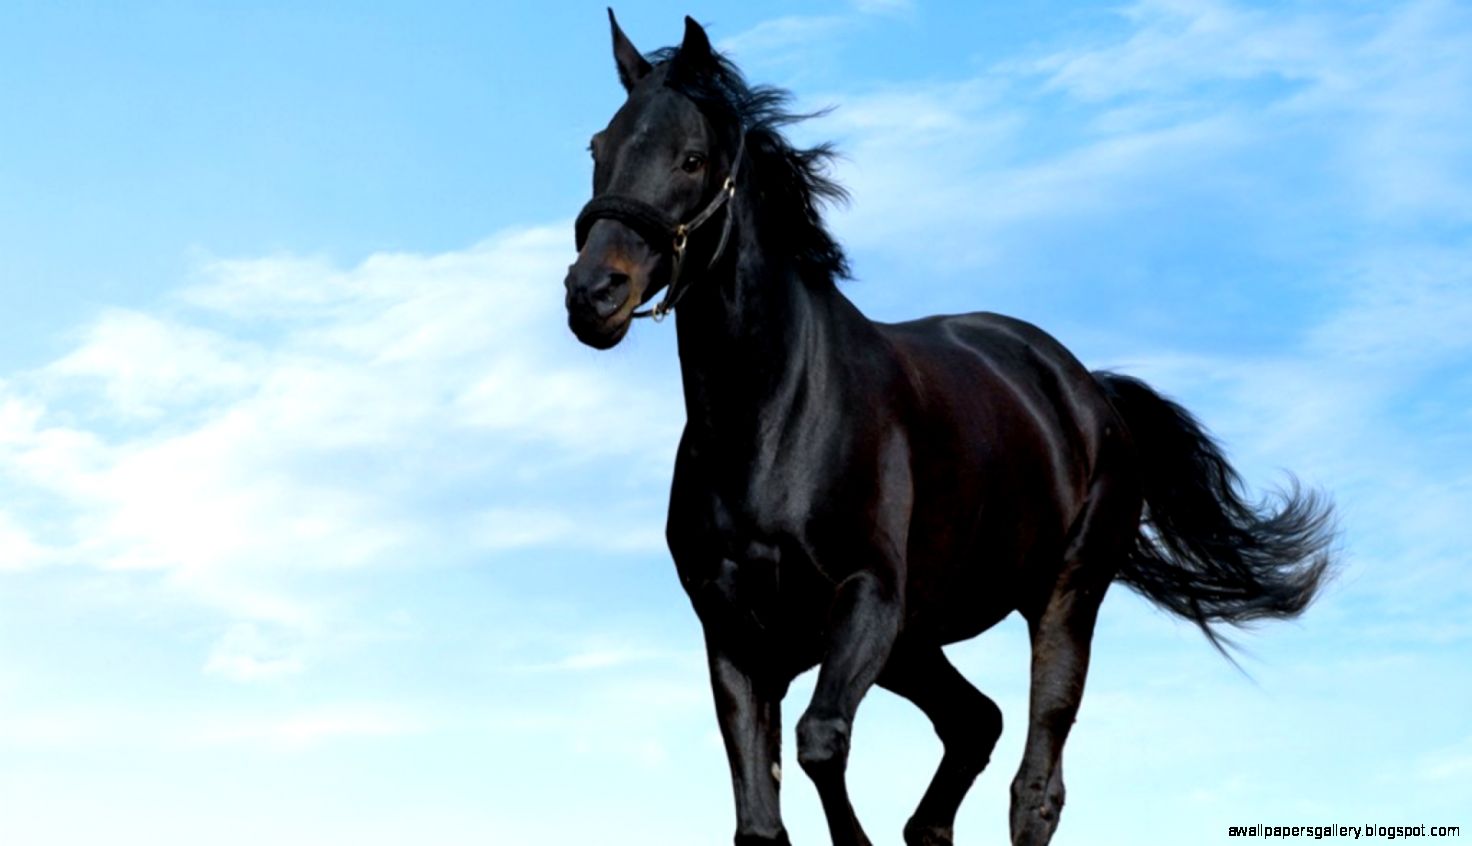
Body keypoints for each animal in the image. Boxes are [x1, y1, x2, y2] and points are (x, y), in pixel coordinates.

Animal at [562, 13, 1334, 846]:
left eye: (692, 158)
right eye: (599, 149)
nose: (592, 294)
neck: (770, 426)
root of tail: (1089, 390)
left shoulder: (867, 600)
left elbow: (821, 740)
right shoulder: (735, 634)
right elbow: (761, 822)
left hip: (1060, 599)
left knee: (1034, 781)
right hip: (916, 644)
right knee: (975, 723)